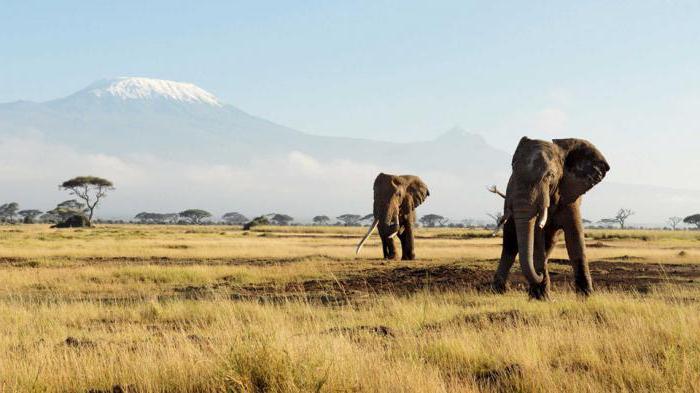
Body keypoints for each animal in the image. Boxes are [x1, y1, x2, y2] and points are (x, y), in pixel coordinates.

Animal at [490, 136, 608, 298]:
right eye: (513, 170)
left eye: (550, 175)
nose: (539, 273)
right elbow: (536, 237)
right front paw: (541, 297)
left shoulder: (569, 196)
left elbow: (575, 237)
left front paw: (586, 296)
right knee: (510, 244)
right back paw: (500, 290)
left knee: (550, 242)